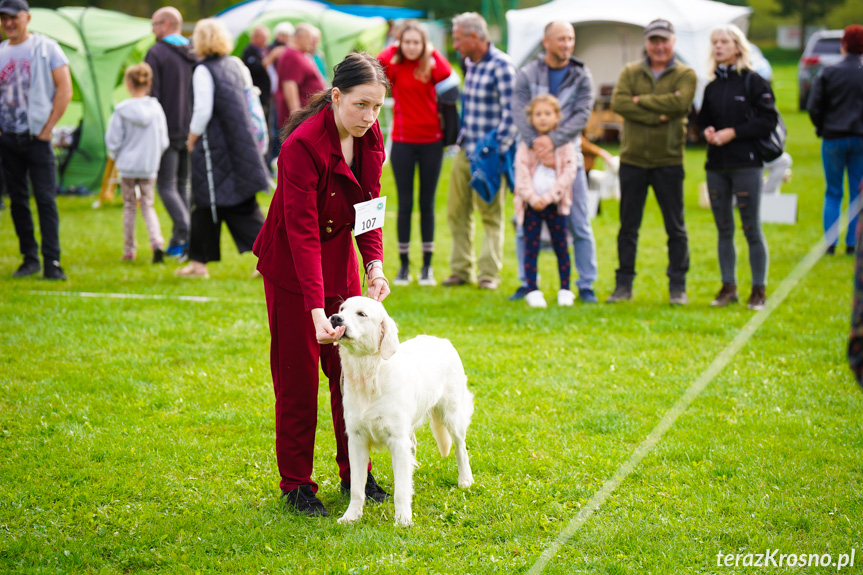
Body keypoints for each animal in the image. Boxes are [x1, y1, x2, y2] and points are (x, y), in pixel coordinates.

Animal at [330, 296, 476, 528]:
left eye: (361, 314)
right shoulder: (357, 439)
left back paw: (465, 480)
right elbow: (356, 488)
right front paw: (351, 516)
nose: (335, 318)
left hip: (453, 414)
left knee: (460, 447)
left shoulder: (397, 439)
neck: (368, 374)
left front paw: (403, 520)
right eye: (342, 309)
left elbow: (400, 489)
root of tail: (442, 340)